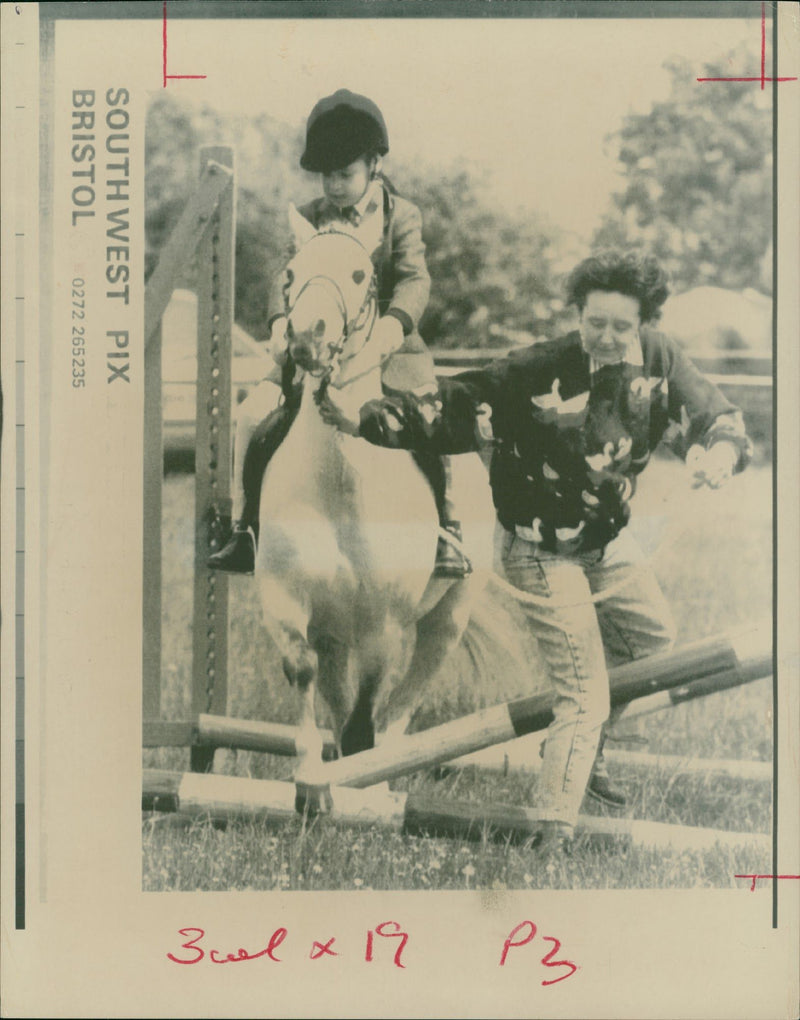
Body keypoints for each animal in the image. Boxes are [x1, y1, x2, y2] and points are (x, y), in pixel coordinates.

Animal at [255, 211, 493, 791]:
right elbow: (306, 675)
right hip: (337, 632)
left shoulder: (383, 627)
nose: (305, 340)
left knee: (406, 700)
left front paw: (355, 785)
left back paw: (384, 775)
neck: (342, 485)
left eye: (361, 274)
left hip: (448, 617)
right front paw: (310, 779)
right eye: (290, 273)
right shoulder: (287, 602)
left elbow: (368, 714)